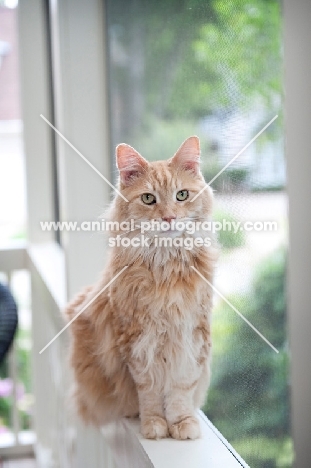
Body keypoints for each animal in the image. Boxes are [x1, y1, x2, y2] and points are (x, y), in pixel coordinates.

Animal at [64, 134, 218, 438]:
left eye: (182, 195)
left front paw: (181, 423)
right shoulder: (136, 339)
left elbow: (181, 389)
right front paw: (154, 424)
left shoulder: (192, 335)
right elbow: (149, 390)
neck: (165, 266)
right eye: (148, 199)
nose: (169, 218)